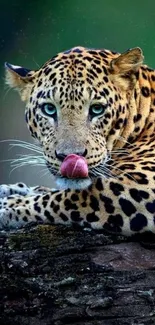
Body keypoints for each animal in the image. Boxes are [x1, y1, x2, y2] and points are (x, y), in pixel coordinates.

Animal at [0, 44, 155, 234]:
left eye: (97, 109)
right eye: (49, 109)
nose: (70, 157)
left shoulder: (143, 183)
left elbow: (68, 198)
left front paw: (11, 205)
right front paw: (13, 190)